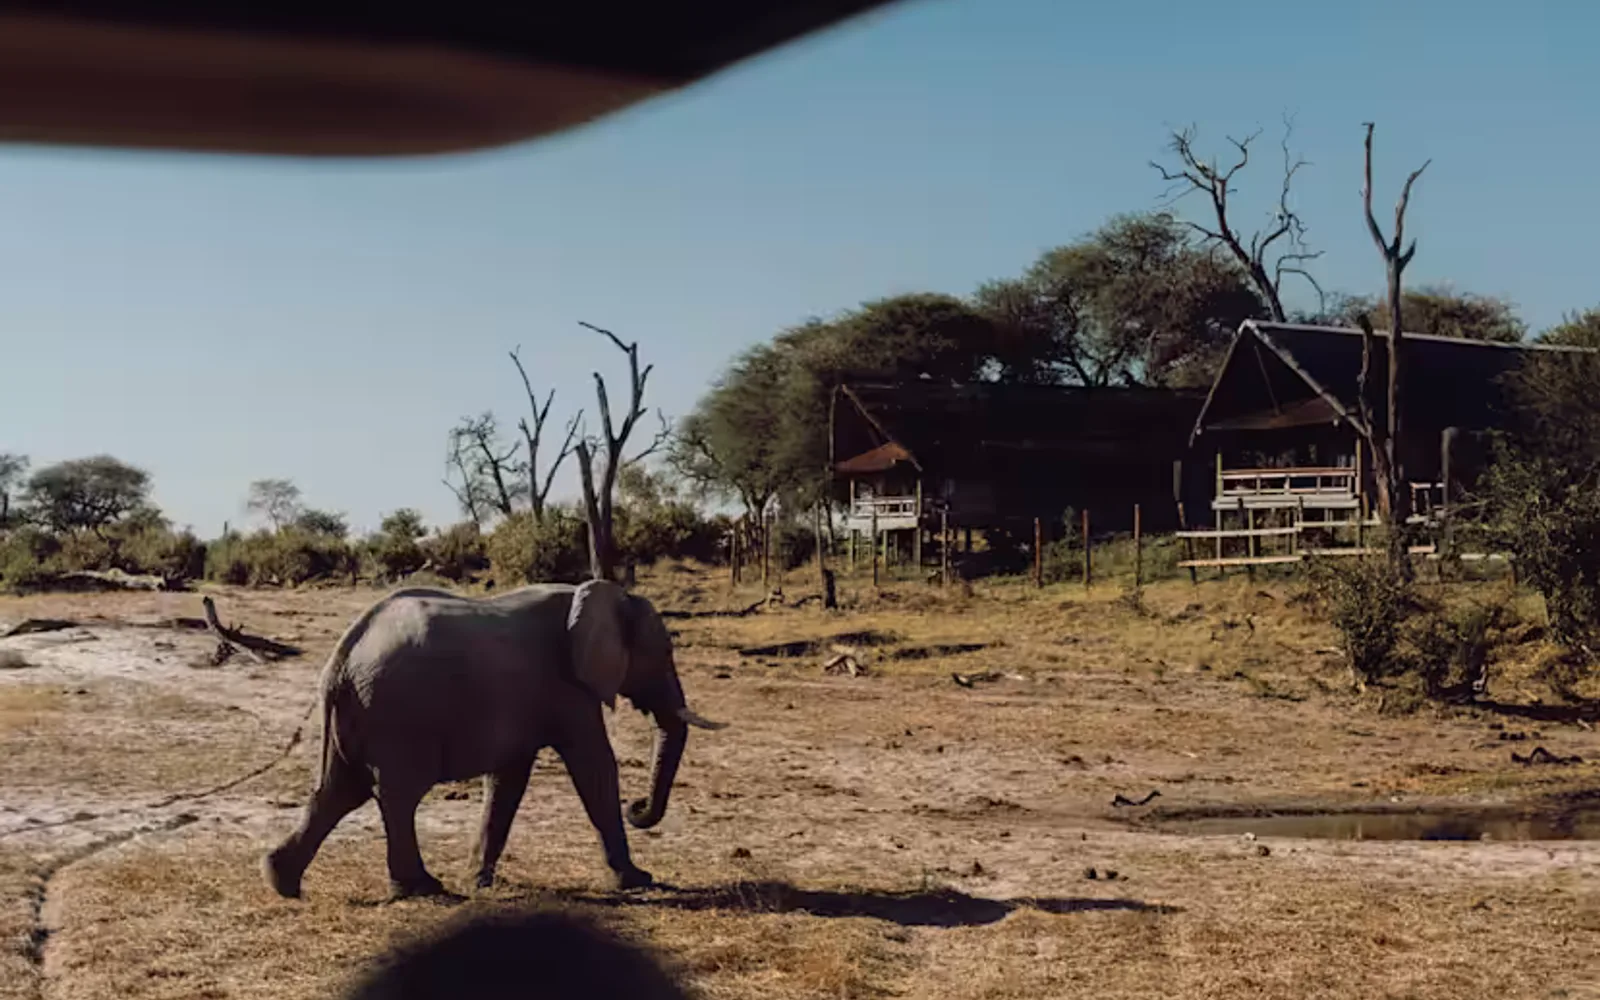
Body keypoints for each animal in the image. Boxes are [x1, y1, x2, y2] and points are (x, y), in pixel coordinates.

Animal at [262, 578, 726, 900]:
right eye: (663, 654)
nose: (638, 807)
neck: (599, 592)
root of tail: (342, 655)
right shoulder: (567, 687)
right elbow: (593, 765)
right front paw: (637, 881)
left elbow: (508, 778)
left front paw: (480, 881)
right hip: (399, 715)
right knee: (396, 793)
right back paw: (422, 887)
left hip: (360, 712)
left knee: (337, 791)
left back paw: (281, 881)